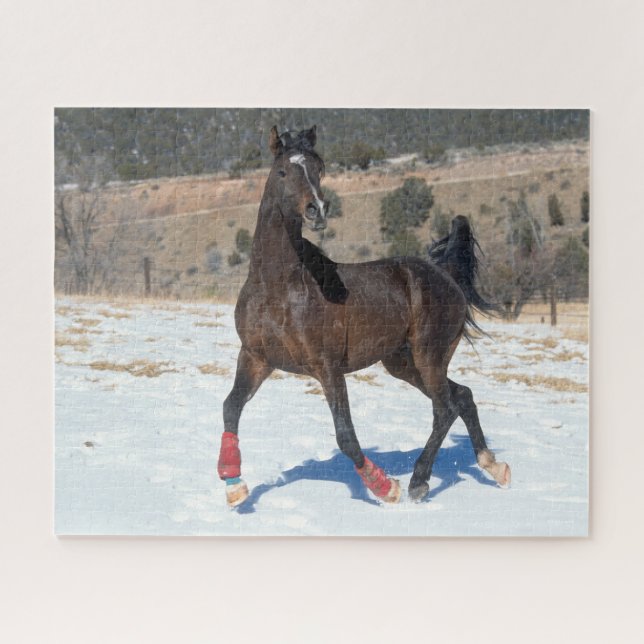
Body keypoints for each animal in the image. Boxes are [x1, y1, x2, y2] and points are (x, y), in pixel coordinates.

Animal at [217, 125, 511, 508]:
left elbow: (345, 435)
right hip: (402, 362)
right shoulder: (255, 357)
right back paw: (493, 466)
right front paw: (234, 486)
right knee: (461, 397)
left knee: (444, 408)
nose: (317, 209)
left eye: (319, 169)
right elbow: (231, 408)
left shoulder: (326, 367)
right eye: (282, 171)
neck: (278, 288)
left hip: (428, 355)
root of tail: (443, 274)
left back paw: (418, 482)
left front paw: (385, 487)